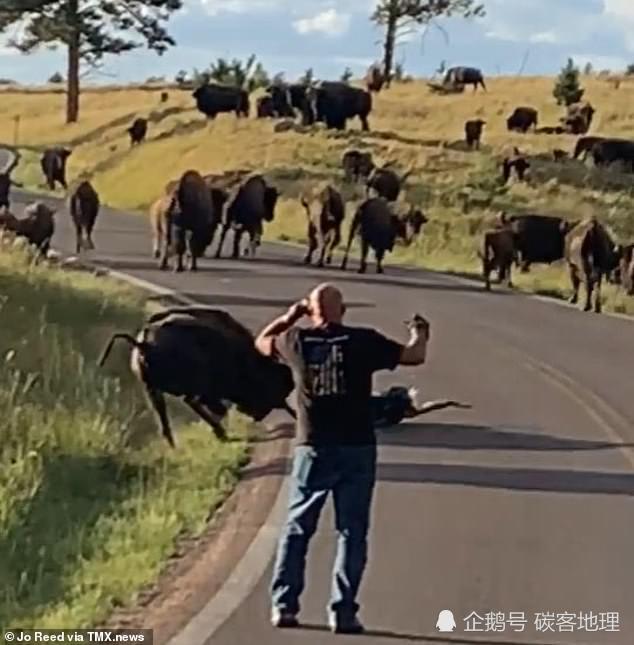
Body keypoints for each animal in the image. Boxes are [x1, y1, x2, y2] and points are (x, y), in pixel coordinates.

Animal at [97, 306, 296, 448]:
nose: (257, 415)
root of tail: (144, 344)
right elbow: (215, 408)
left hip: (153, 391)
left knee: (165, 422)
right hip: (193, 387)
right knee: (192, 402)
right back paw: (220, 433)